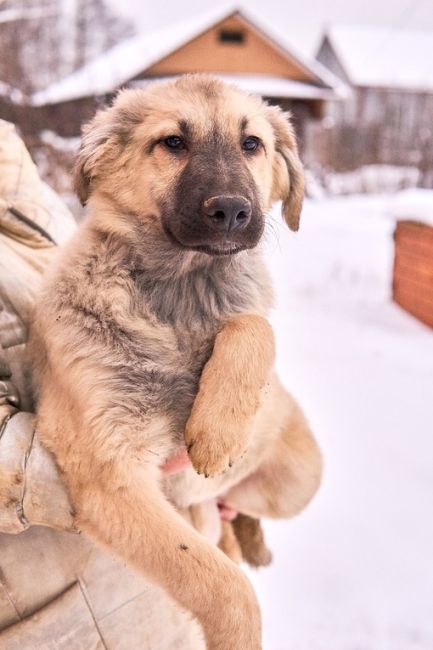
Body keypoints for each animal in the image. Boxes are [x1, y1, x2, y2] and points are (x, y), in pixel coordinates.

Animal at [29, 76, 320, 648]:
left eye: (252, 144)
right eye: (172, 143)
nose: (230, 211)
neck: (184, 286)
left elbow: (254, 326)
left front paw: (217, 430)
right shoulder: (109, 475)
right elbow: (224, 588)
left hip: (298, 482)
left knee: (240, 510)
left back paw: (253, 540)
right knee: (222, 531)